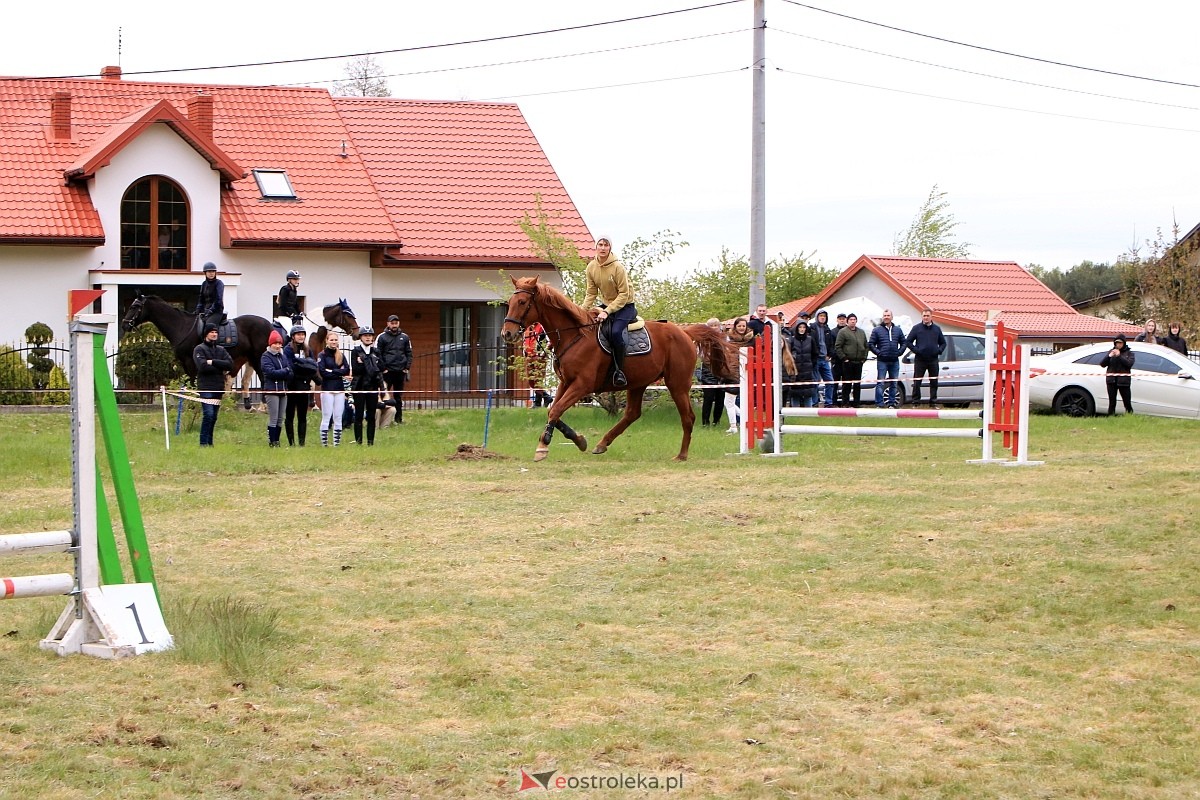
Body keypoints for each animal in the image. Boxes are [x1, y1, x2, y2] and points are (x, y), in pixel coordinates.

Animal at [121, 293, 272, 381]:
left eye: (134, 307)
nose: (124, 325)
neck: (181, 326)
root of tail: (270, 325)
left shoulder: (191, 362)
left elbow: (194, 383)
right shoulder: (184, 363)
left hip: (258, 358)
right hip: (252, 358)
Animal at [499, 275, 739, 462]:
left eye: (522, 302)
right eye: (510, 301)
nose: (507, 333)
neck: (575, 335)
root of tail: (685, 332)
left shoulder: (582, 386)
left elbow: (556, 410)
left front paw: (544, 445)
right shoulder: (565, 383)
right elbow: (553, 411)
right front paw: (576, 440)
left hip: (677, 384)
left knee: (688, 417)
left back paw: (681, 455)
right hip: (639, 383)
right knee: (632, 413)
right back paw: (602, 443)